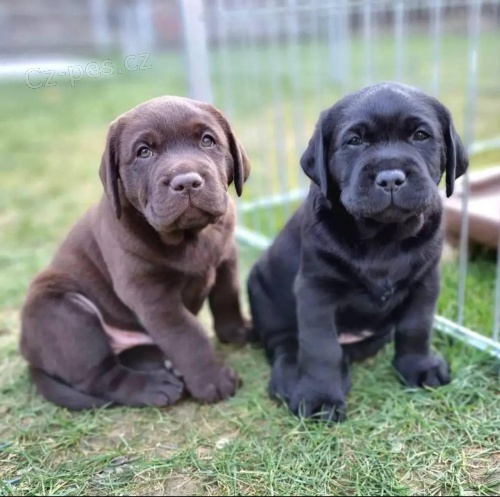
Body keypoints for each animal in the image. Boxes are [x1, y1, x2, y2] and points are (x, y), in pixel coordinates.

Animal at [248, 82, 470, 422]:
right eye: (355, 141)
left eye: (420, 135)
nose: (390, 178)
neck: (383, 237)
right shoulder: (316, 289)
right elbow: (320, 346)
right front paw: (320, 398)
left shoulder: (426, 281)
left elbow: (416, 327)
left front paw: (419, 367)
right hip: (263, 290)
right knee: (286, 345)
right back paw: (290, 379)